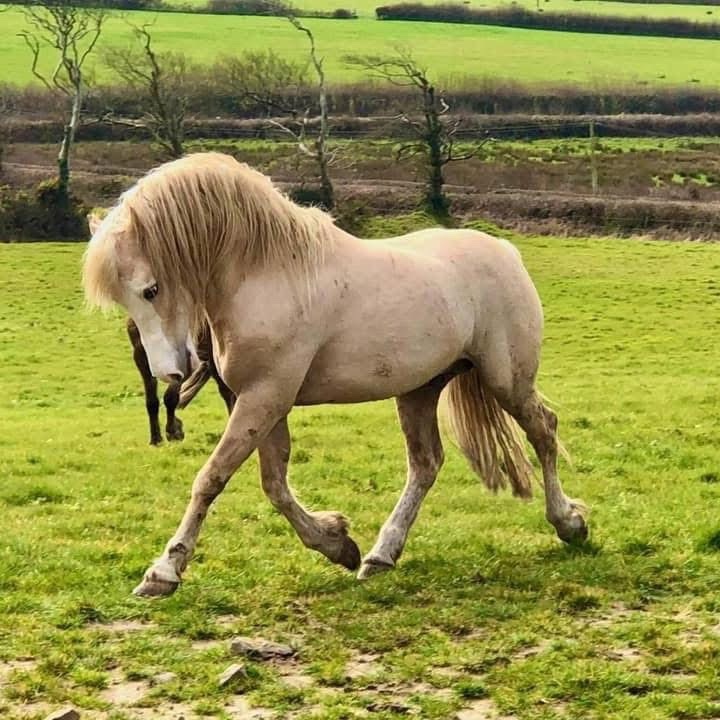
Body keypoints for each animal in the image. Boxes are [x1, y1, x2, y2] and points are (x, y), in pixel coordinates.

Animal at [88, 213, 235, 445]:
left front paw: (173, 431)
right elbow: (151, 399)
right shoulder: (142, 356)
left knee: (226, 391)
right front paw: (156, 437)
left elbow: (171, 396)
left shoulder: (183, 360)